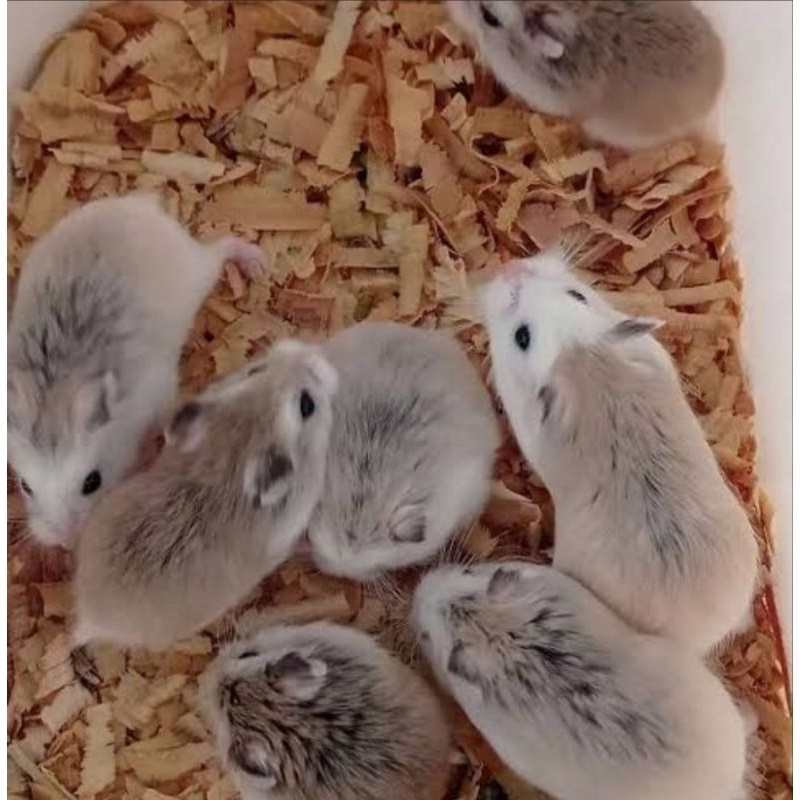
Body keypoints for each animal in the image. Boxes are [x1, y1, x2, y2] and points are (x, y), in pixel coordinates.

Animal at [7, 193, 265, 548]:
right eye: (25, 486)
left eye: (92, 482)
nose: (65, 541)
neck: (56, 389)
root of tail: (140, 203)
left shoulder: (160, 396)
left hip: (194, 270)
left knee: (222, 247)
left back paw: (255, 262)